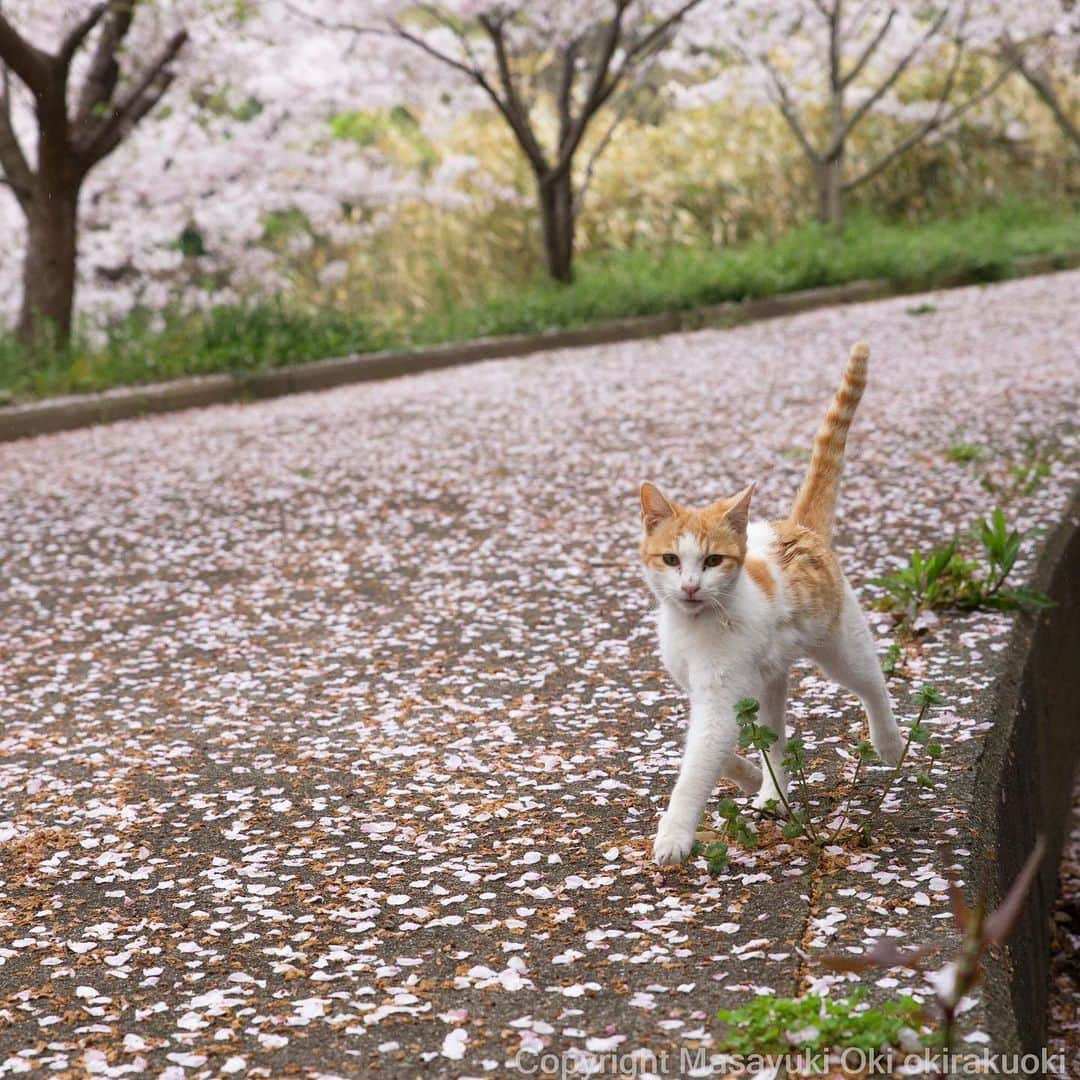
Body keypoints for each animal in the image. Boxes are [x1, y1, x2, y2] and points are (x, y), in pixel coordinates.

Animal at [639, 341, 902, 864]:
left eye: (713, 560)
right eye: (671, 559)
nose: (691, 587)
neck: (694, 624)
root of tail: (798, 528)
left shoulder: (718, 704)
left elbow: (698, 767)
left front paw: (674, 835)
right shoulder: (704, 694)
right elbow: (726, 753)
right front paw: (749, 778)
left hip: (840, 648)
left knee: (873, 685)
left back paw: (889, 743)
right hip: (768, 678)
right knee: (777, 738)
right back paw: (772, 794)